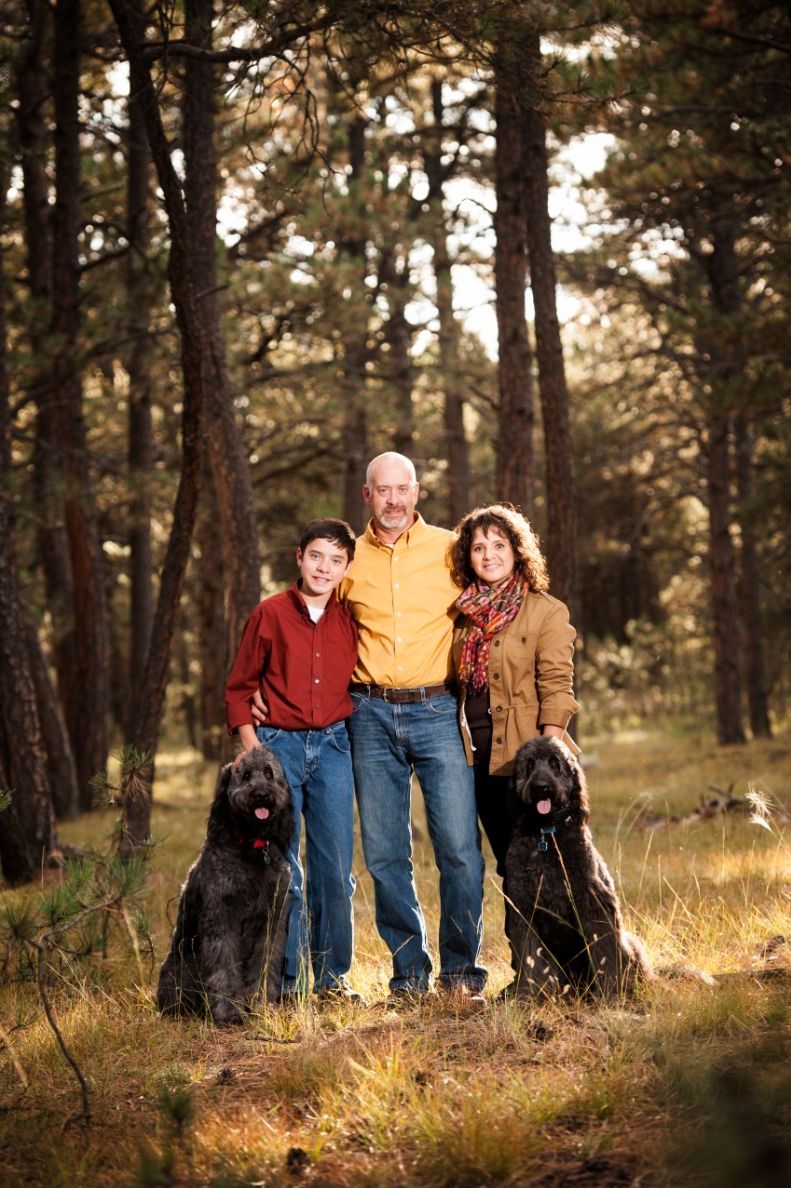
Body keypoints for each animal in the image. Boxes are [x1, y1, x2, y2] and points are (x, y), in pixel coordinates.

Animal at [155, 746, 290, 1026]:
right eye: (246, 775)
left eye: (269, 773)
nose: (261, 795)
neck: (252, 848)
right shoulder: (222, 922)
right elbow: (225, 971)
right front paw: (231, 1012)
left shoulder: (271, 923)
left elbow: (264, 964)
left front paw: (261, 1005)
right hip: (185, 969)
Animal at [501, 736, 650, 997]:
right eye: (529, 763)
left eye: (554, 762)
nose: (541, 787)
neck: (546, 836)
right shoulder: (524, 907)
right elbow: (532, 959)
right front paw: (531, 996)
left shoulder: (591, 902)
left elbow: (605, 954)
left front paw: (610, 992)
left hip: (630, 944)